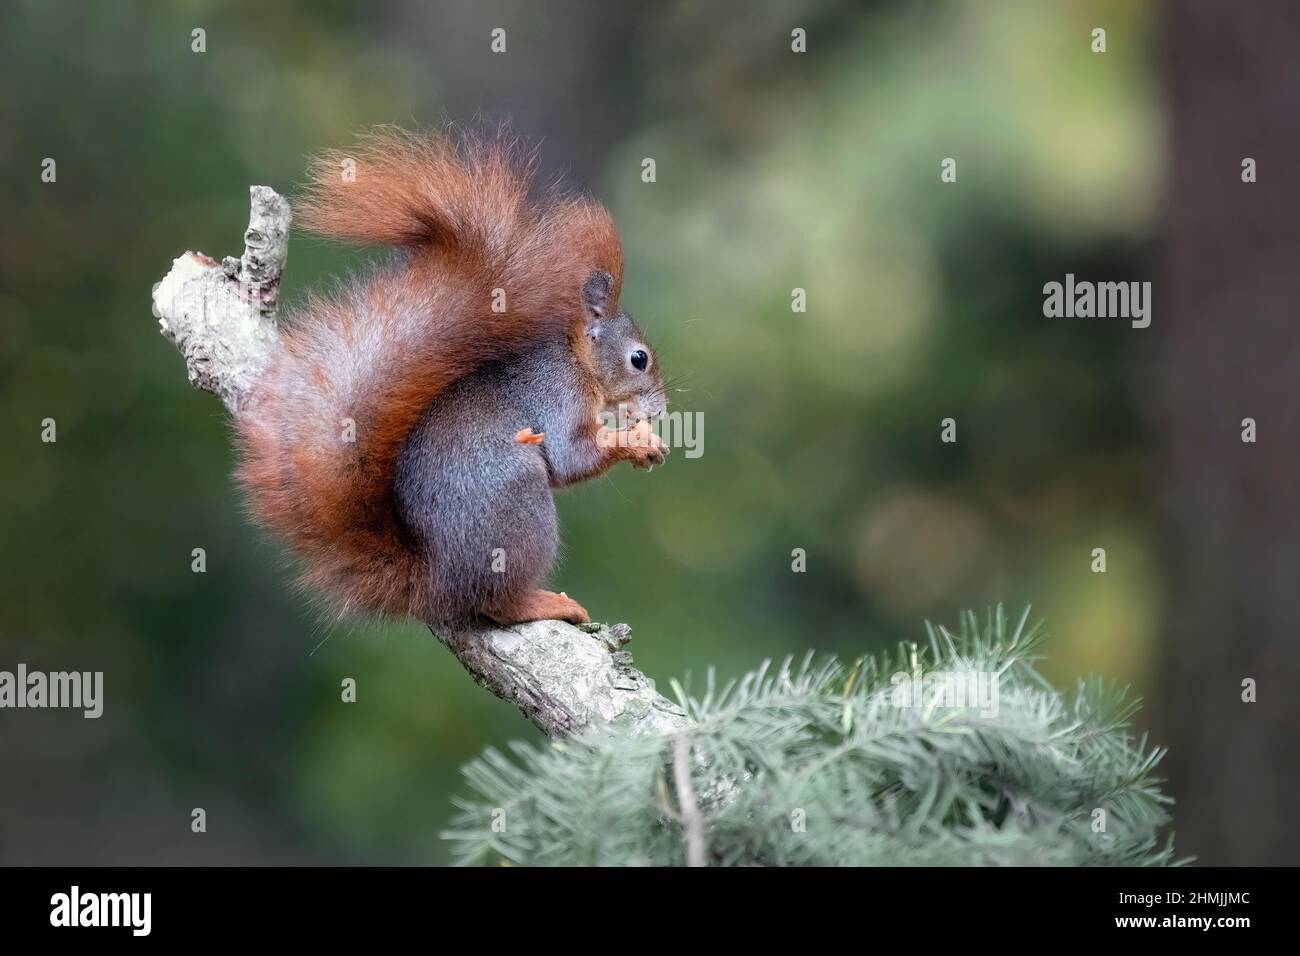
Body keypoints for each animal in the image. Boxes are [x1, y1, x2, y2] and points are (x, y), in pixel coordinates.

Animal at [239, 130, 670, 632]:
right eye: (639, 359)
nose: (661, 409)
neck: (577, 361)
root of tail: (435, 580)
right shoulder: (558, 395)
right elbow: (570, 457)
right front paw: (636, 441)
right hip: (516, 501)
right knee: (495, 602)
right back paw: (540, 603)